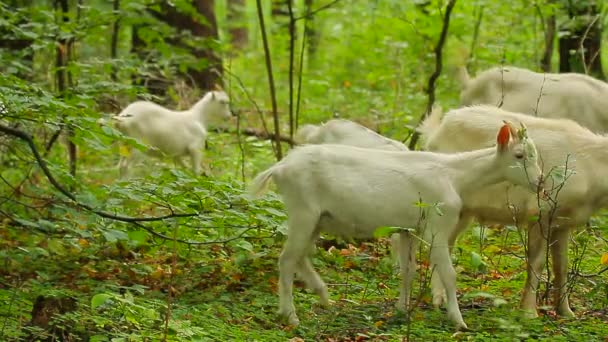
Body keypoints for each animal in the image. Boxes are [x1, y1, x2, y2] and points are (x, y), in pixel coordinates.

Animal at [248, 121, 540, 330]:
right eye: (519, 154)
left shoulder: (407, 229)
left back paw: (323, 295)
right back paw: (291, 315)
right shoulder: (436, 226)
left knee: (301, 255)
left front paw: (402, 309)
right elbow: (448, 273)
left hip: (318, 218)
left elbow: (408, 270)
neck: (455, 176)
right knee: (287, 259)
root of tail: (280, 167)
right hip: (303, 211)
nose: (539, 182)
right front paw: (458, 321)